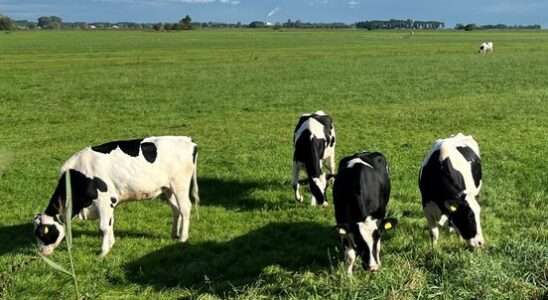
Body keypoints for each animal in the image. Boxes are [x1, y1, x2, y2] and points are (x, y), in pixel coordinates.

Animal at [33, 136, 199, 255]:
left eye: (42, 233)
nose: (40, 253)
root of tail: (188, 140)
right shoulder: (110, 202)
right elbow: (110, 223)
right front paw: (111, 244)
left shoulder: (104, 200)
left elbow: (103, 227)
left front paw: (103, 251)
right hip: (167, 188)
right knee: (176, 209)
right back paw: (173, 234)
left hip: (180, 184)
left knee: (185, 208)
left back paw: (183, 238)